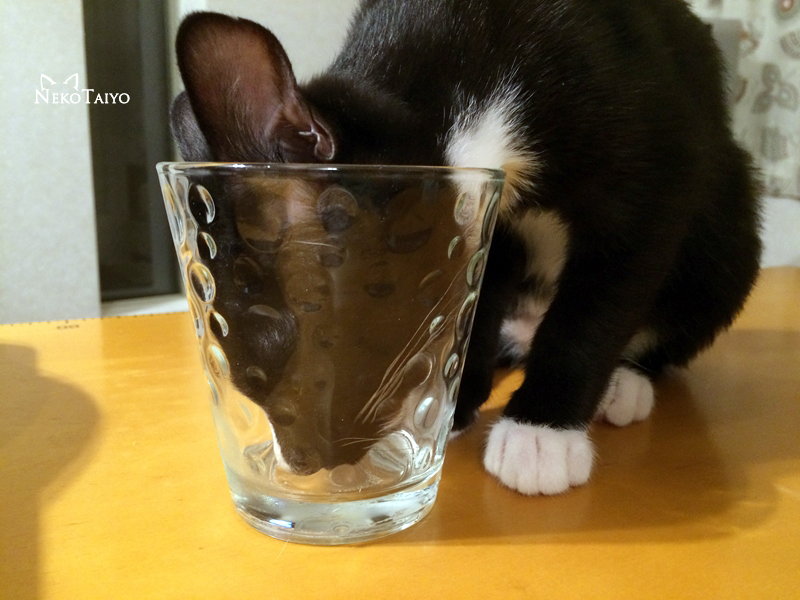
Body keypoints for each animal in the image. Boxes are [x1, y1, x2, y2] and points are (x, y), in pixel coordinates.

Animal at [170, 0, 762, 495]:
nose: (303, 461)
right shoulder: (488, 225)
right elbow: (476, 296)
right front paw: (452, 402)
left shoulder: (655, 165)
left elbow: (599, 302)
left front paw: (541, 428)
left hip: (725, 226)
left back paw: (624, 383)